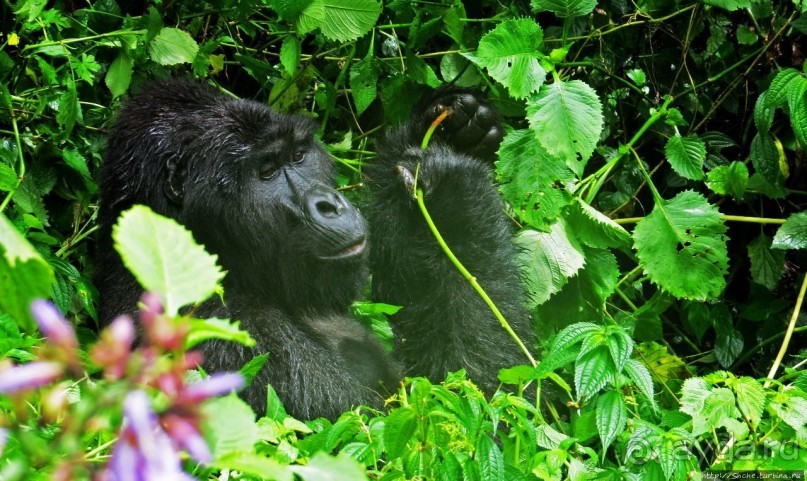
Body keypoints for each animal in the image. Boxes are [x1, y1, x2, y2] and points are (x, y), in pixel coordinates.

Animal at [94, 77, 532, 418]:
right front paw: (452, 194)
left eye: (299, 155)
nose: (330, 204)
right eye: (267, 172)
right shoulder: (223, 338)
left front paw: (448, 132)